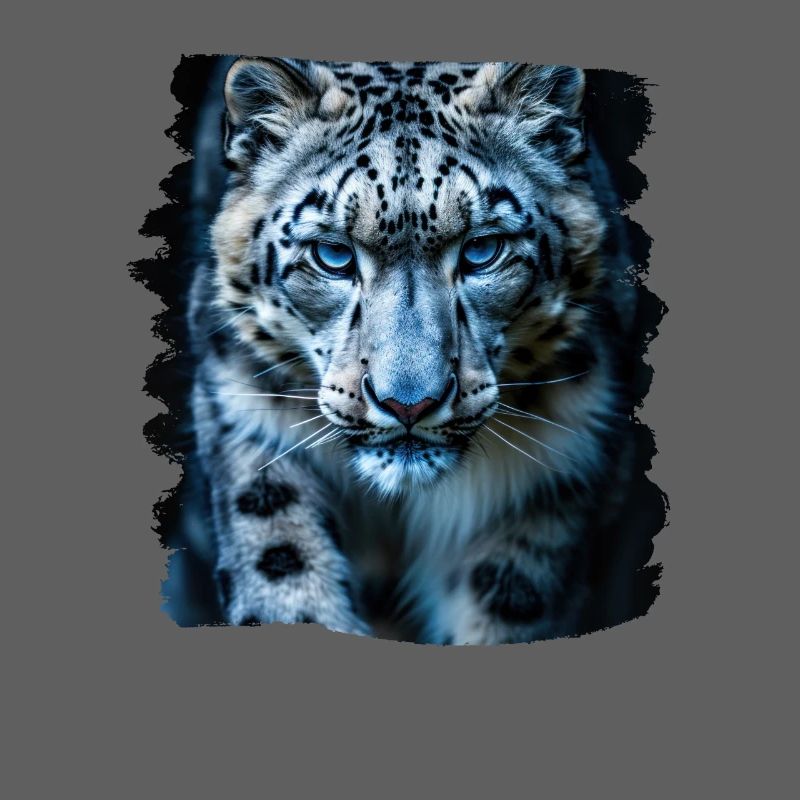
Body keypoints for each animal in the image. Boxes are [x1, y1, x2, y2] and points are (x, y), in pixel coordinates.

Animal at [185, 58, 639, 644]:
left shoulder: (551, 487)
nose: (408, 404)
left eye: (482, 249)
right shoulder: (252, 426)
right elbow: (285, 573)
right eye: (332, 254)